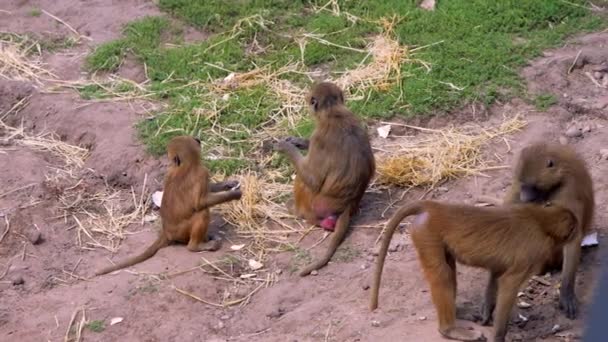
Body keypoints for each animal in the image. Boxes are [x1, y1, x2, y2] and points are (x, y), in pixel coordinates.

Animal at [94, 135, 241, 276]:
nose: (198, 139)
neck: (185, 165)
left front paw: (229, 184)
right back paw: (196, 246)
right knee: (202, 213)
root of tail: (166, 232)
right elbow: (200, 203)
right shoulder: (202, 173)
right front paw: (234, 194)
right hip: (182, 231)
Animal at [274, 81, 376, 276]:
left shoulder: (319, 137)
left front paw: (286, 147)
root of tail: (348, 205)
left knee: (303, 182)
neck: (333, 111)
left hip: (316, 205)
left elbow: (313, 179)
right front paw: (299, 142)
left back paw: (295, 210)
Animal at [370, 200, 580, 342]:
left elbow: (497, 273)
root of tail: (433, 206)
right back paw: (449, 329)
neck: (541, 220)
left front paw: (486, 313)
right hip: (426, 234)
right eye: (574, 229)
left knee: (448, 269)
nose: (578, 234)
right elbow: (508, 285)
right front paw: (498, 336)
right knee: (442, 274)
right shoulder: (533, 252)